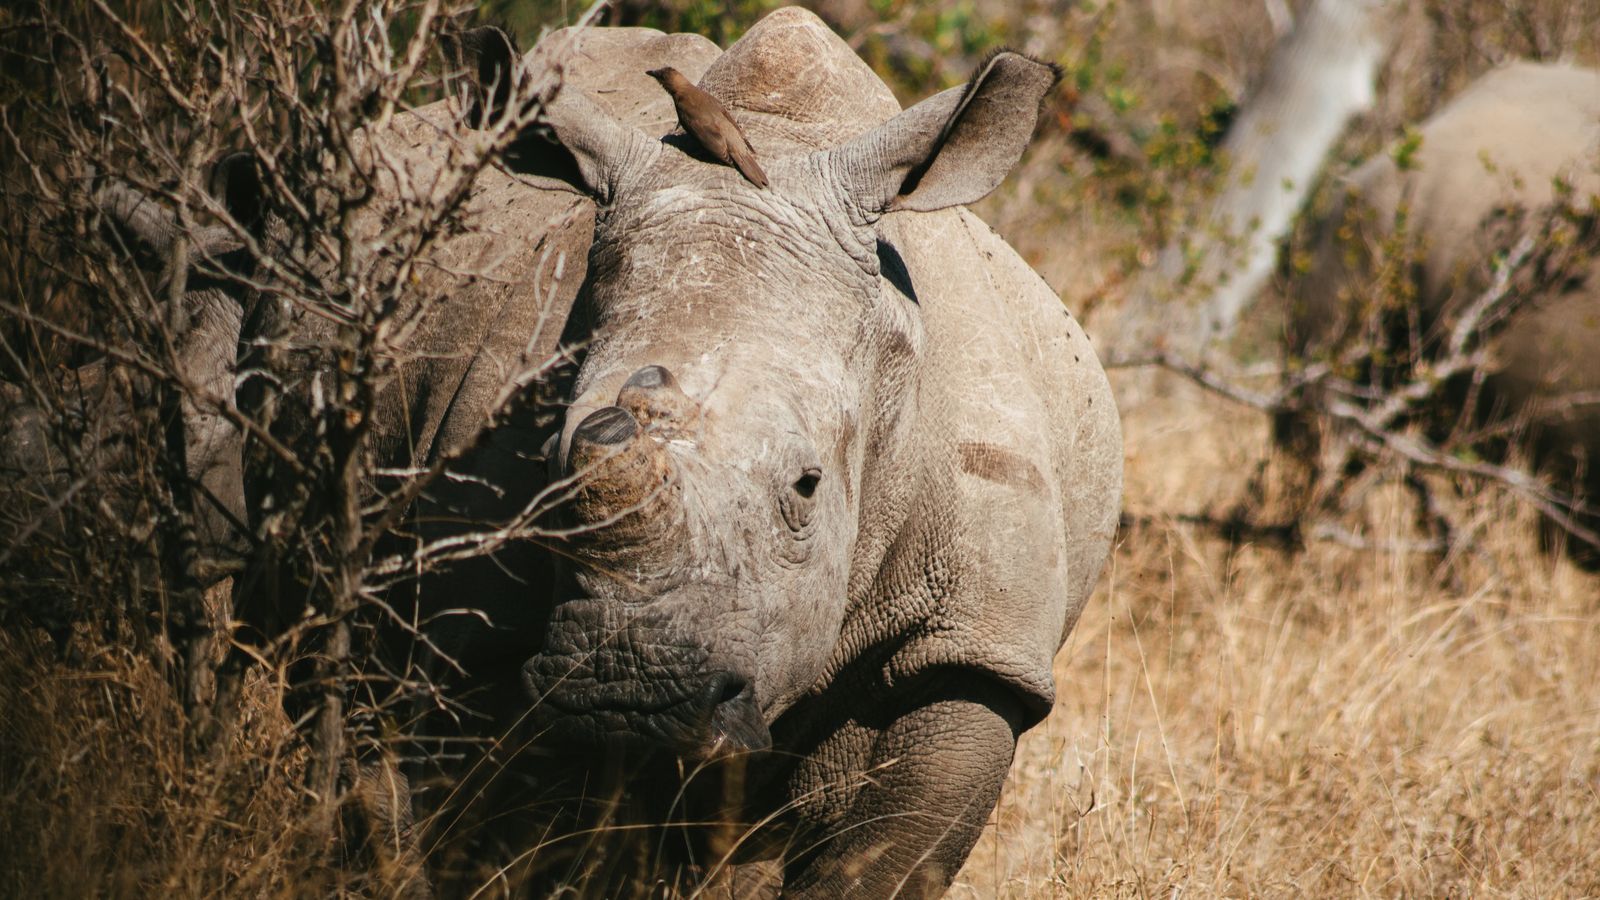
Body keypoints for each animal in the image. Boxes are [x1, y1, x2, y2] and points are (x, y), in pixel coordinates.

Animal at [217, 8, 1120, 895]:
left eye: (807, 485)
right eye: (547, 469)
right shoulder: (458, 626)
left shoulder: (968, 644)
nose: (625, 688)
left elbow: (876, 860)